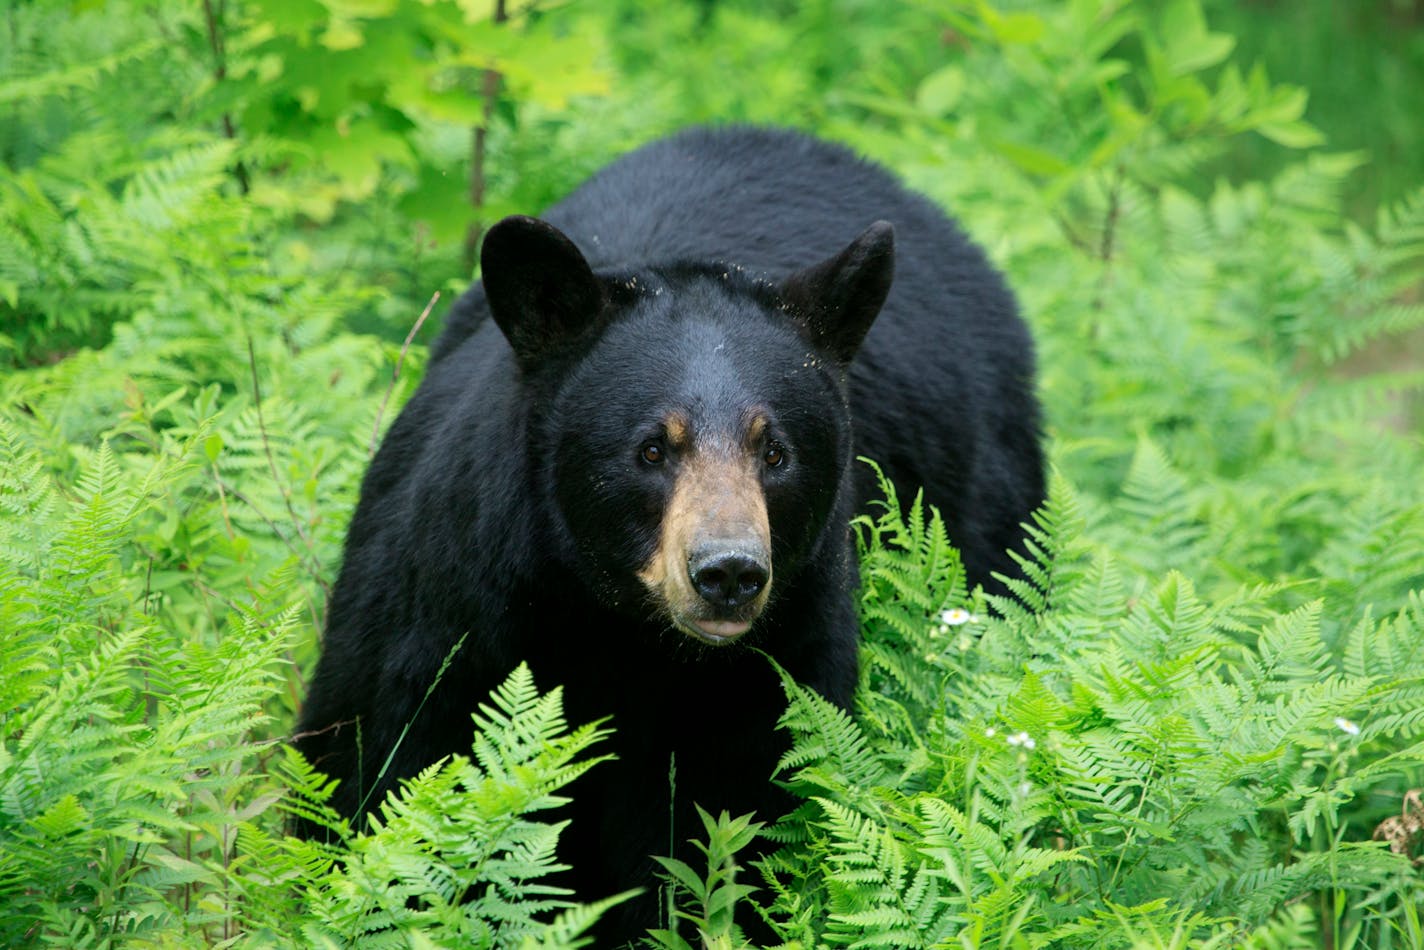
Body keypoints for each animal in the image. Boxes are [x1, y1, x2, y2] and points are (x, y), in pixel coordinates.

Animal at [294, 126, 1042, 945]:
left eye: (775, 452)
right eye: (652, 449)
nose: (728, 571)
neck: (620, 636)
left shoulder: (782, 665)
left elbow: (744, 832)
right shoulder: (447, 611)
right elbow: (375, 765)